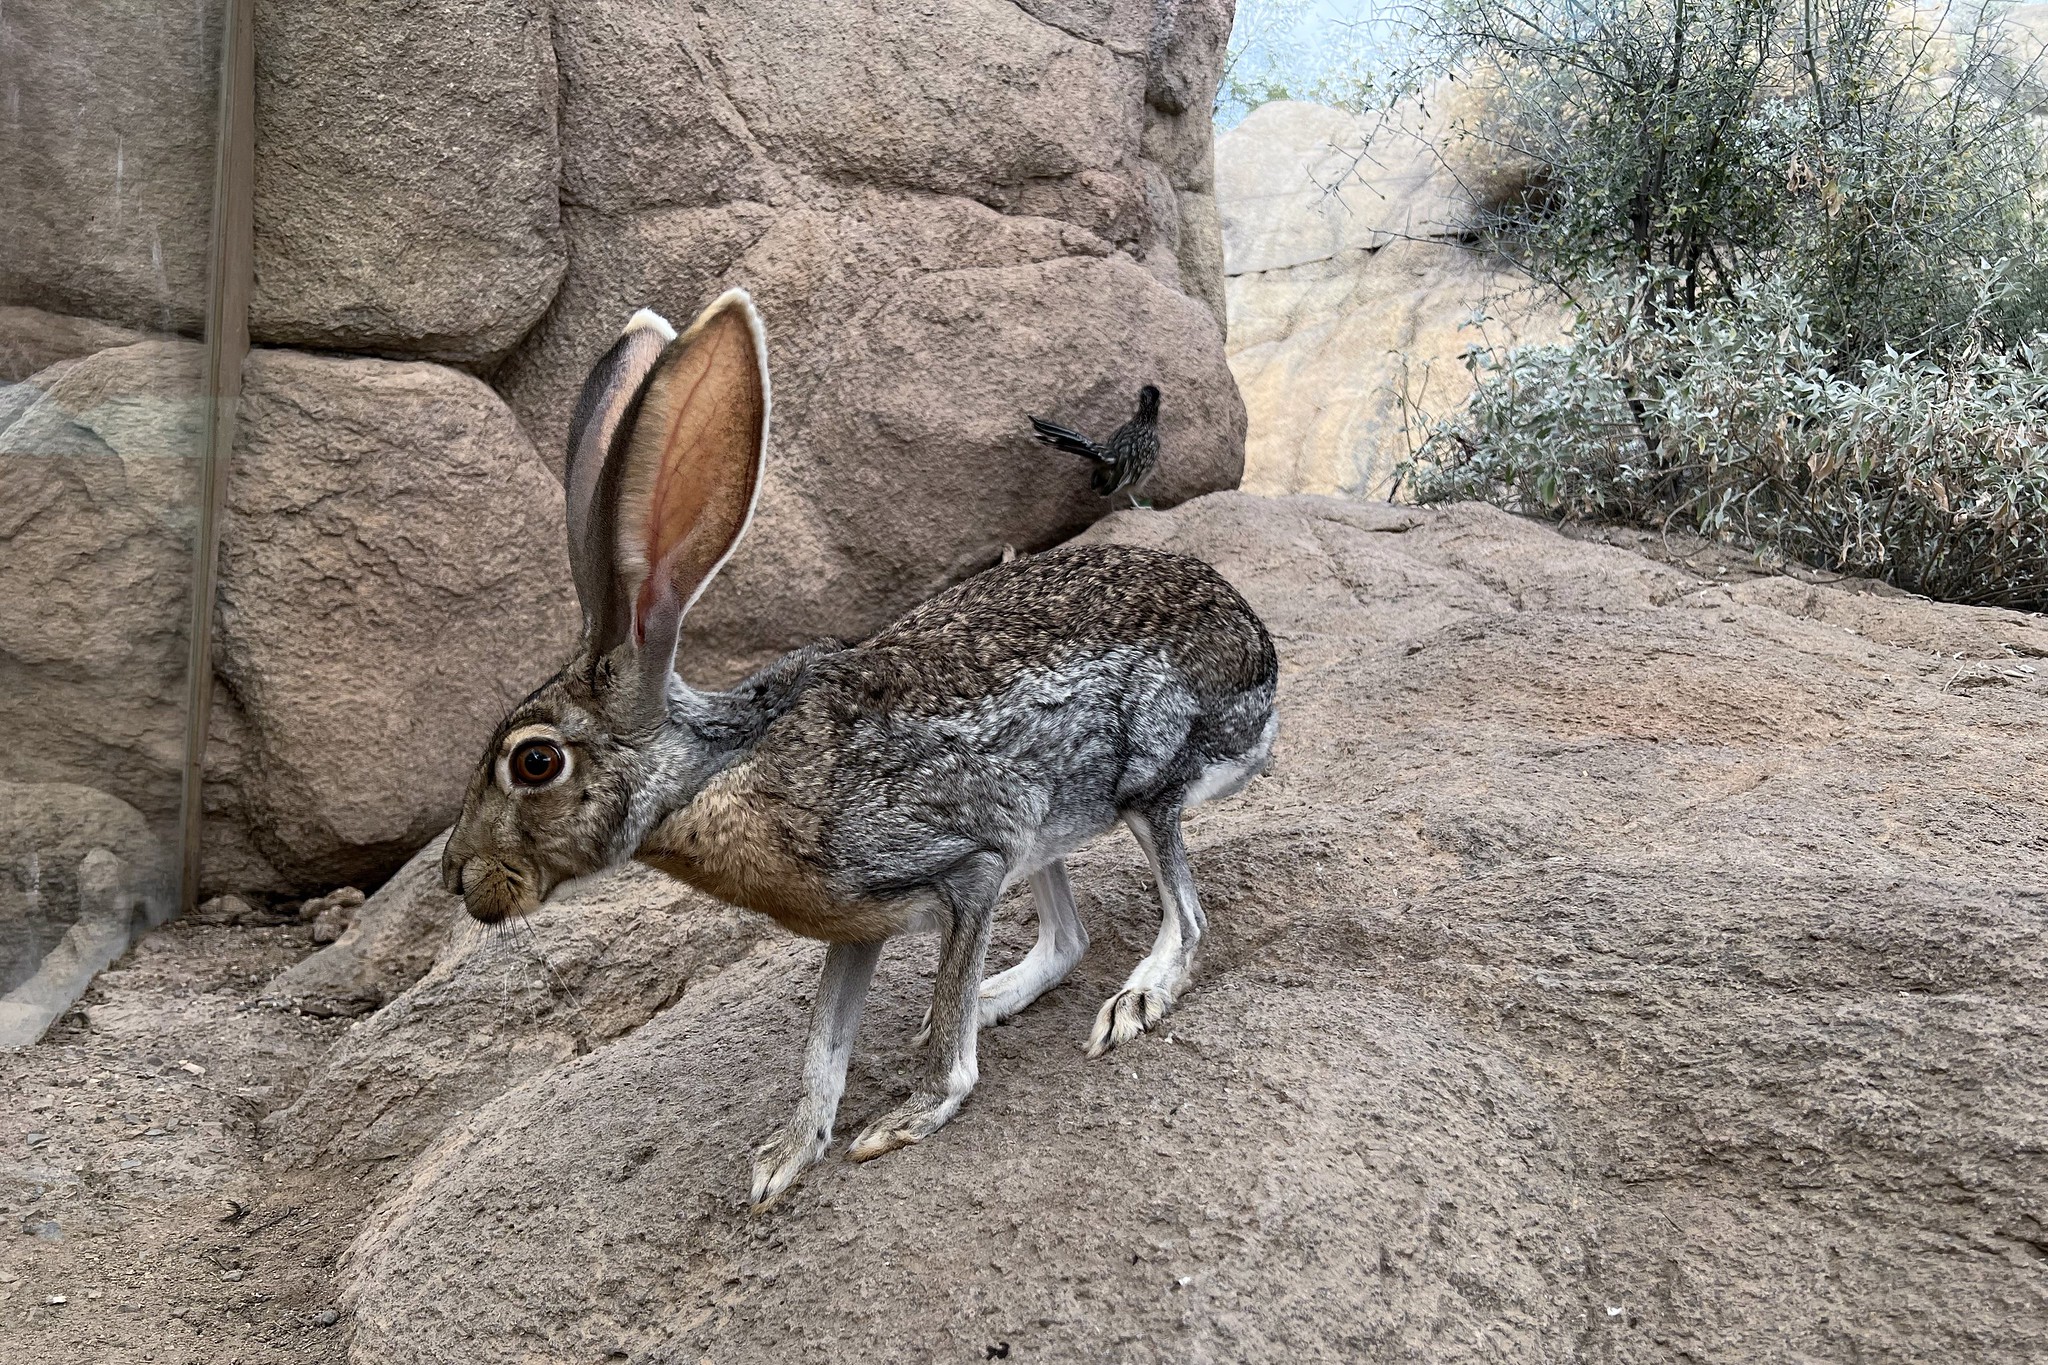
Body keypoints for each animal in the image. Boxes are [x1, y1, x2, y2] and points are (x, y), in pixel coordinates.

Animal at [440, 290, 1279, 1206]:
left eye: (535, 762)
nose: (457, 877)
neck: (718, 770)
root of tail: (1259, 652)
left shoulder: (968, 863)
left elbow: (928, 1045)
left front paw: (907, 1116)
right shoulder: (857, 922)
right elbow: (822, 1045)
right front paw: (783, 1158)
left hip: (1141, 785)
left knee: (1185, 915)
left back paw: (1132, 1001)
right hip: (1048, 824)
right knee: (1066, 939)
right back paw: (994, 997)